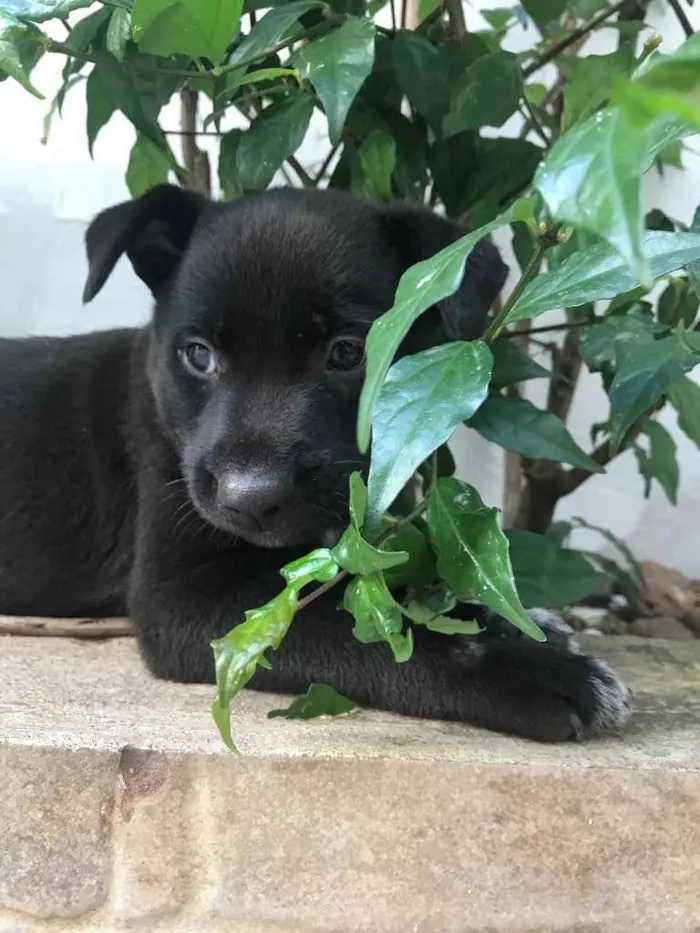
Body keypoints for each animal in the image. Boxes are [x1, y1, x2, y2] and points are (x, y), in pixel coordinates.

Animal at [0, 186, 628, 740]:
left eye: (348, 353)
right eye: (198, 355)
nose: (249, 499)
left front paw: (516, 619)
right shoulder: (180, 598)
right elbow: (359, 630)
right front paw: (526, 672)